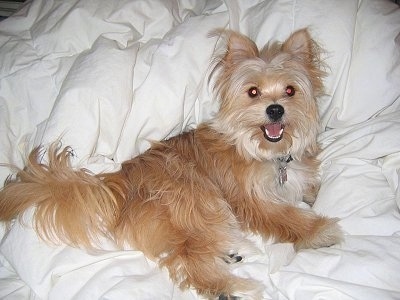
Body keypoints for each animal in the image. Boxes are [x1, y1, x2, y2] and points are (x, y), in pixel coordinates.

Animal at [0, 27, 344, 298]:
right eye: (253, 92)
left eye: (290, 90)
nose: (275, 110)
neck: (266, 152)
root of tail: (118, 178)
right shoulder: (250, 200)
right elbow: (287, 217)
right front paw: (320, 231)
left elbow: (305, 190)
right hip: (197, 198)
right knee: (189, 257)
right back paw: (227, 288)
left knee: (188, 247)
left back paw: (229, 256)